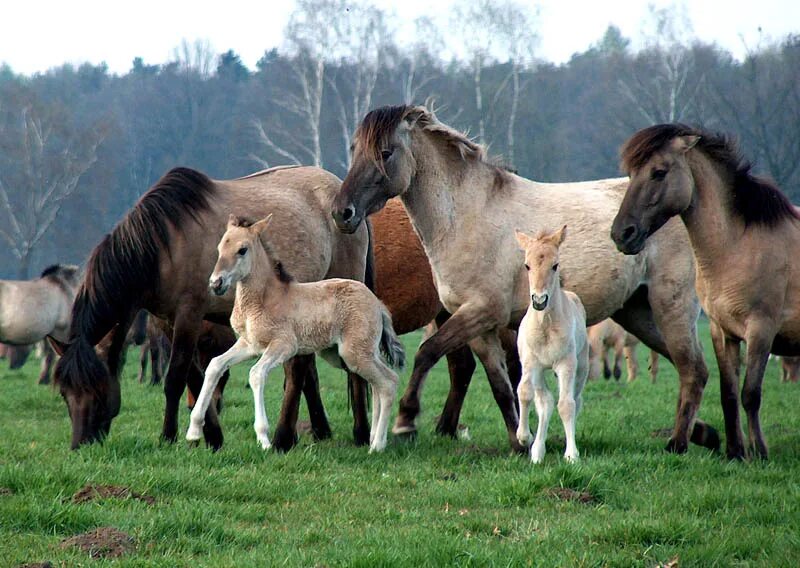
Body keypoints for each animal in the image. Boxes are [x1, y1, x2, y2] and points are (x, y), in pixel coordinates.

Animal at [51, 166, 370, 450]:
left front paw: (168, 436)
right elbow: (195, 376)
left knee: (347, 369)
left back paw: (353, 434)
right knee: (302, 370)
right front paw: (211, 436)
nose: (80, 444)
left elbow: (176, 378)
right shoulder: (168, 321)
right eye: (65, 394)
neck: (164, 247)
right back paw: (301, 434)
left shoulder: (189, 314)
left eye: (97, 389)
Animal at [185, 213, 404, 452]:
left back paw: (377, 446)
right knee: (378, 383)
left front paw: (264, 440)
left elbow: (256, 374)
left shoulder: (284, 345)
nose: (216, 283)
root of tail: (378, 304)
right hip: (345, 353)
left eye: (242, 250)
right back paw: (373, 438)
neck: (264, 299)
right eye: (220, 248)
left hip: (354, 353)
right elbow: (215, 365)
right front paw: (193, 432)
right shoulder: (249, 344)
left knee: (388, 383)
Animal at [512, 224, 588, 464]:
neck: (545, 324)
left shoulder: (566, 365)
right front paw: (524, 437)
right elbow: (524, 392)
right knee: (544, 402)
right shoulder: (530, 363)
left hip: (582, 367)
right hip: (540, 371)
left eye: (555, 265)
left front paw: (572, 455)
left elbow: (566, 405)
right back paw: (537, 451)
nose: (539, 300)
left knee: (575, 400)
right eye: (527, 265)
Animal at [612, 122, 800, 460]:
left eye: (659, 172)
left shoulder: (761, 329)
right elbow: (729, 393)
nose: (622, 233)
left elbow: (750, 393)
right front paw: (736, 452)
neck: (738, 246)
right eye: (631, 174)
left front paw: (760, 451)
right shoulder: (722, 332)